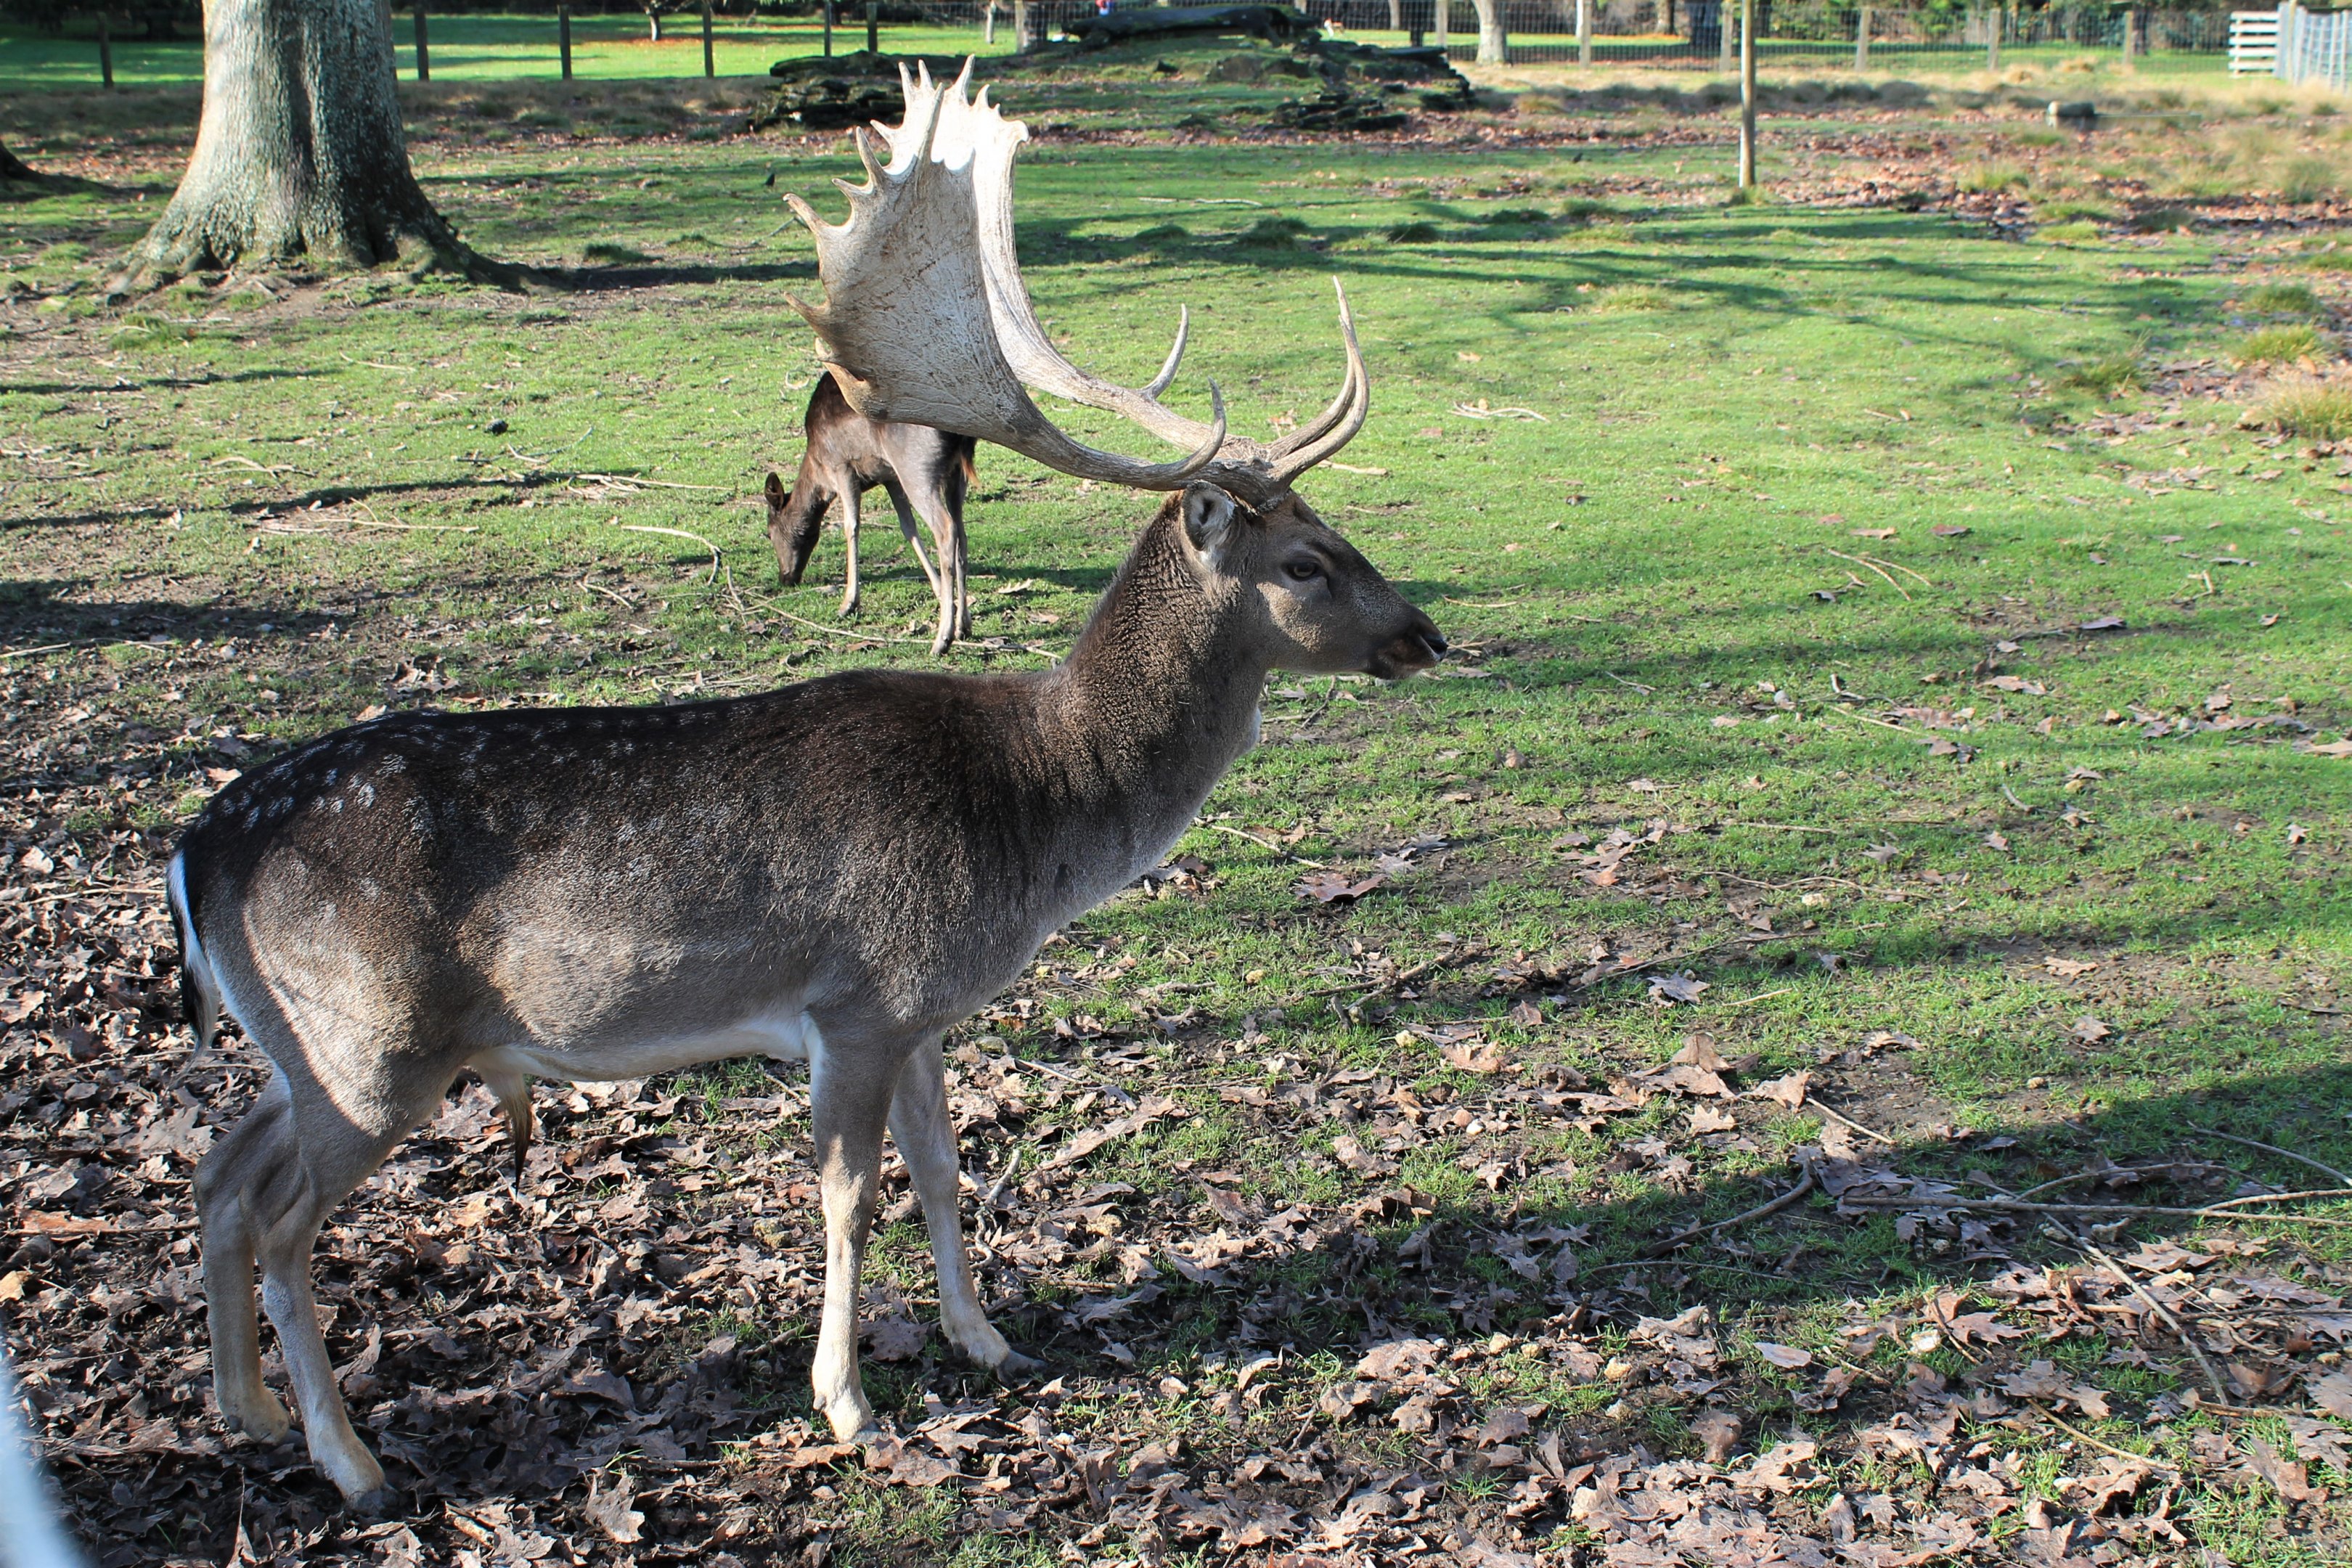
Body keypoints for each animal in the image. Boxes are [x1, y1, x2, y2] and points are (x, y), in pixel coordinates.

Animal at [167, 60, 1442, 1509]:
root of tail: (195, 855)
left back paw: (245, 1413)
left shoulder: (929, 1007)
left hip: (304, 1050)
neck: (1035, 818)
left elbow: (946, 1172)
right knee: (277, 1222)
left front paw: (985, 1339)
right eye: (1303, 562)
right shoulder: (859, 996)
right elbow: (851, 1197)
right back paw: (349, 1458)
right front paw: (847, 1402)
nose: (1425, 633)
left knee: (216, 1177)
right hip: (372, 1046)